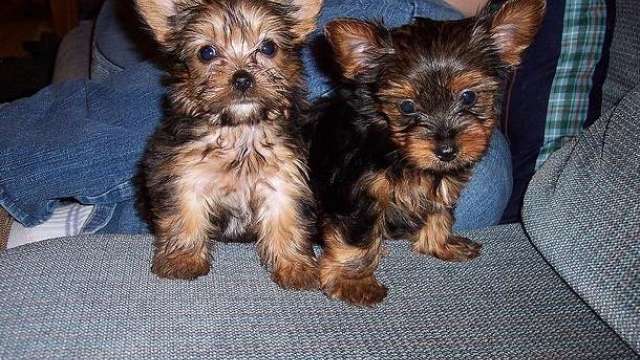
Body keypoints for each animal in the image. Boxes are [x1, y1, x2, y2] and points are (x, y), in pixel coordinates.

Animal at [137, 0, 322, 290]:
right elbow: (184, 215)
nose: (242, 78)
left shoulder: (284, 178)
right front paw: (182, 259)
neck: (239, 129)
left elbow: (288, 219)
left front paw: (296, 266)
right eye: (207, 52)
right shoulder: (183, 173)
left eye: (268, 47)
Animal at [310, 0, 544, 306]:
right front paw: (354, 281)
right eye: (407, 106)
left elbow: (439, 211)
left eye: (468, 96)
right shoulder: (357, 193)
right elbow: (356, 238)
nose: (446, 150)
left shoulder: (440, 181)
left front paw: (440, 244)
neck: (392, 145)